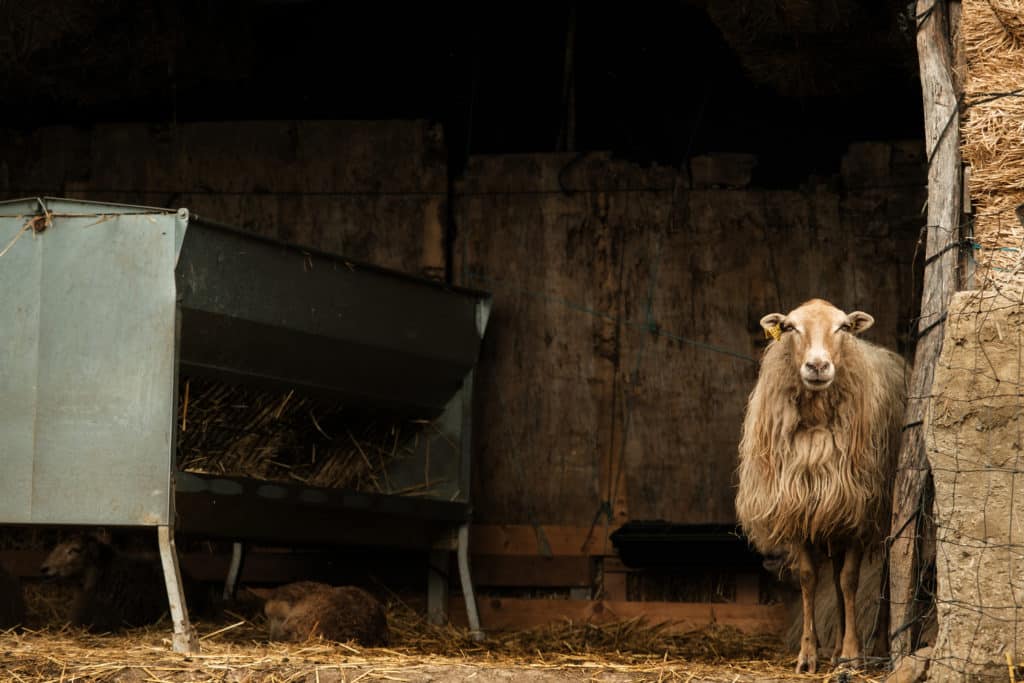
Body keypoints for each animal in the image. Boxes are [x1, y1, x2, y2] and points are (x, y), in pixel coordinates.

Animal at [737, 299, 905, 671]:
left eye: (842, 327)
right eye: (790, 327)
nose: (817, 365)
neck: (815, 419)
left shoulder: (857, 512)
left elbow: (850, 580)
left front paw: (853, 654)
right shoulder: (799, 509)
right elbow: (809, 579)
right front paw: (808, 655)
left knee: (879, 580)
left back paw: (873, 646)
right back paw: (835, 648)